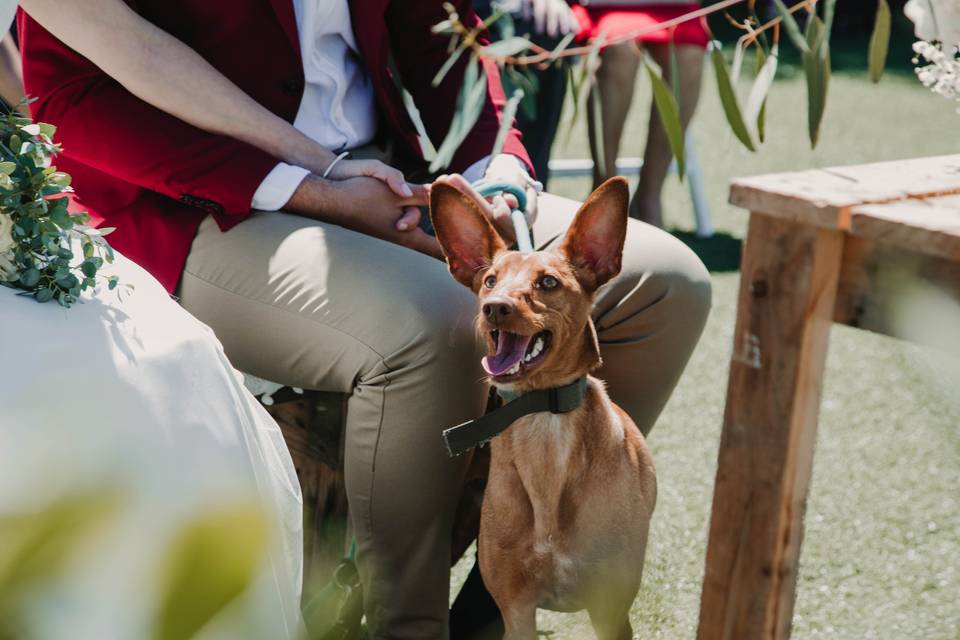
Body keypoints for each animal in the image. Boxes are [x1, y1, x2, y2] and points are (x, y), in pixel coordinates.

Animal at [432, 176, 656, 640]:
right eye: (490, 280)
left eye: (548, 283)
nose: (495, 308)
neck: (544, 422)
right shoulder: (516, 609)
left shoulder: (611, 612)